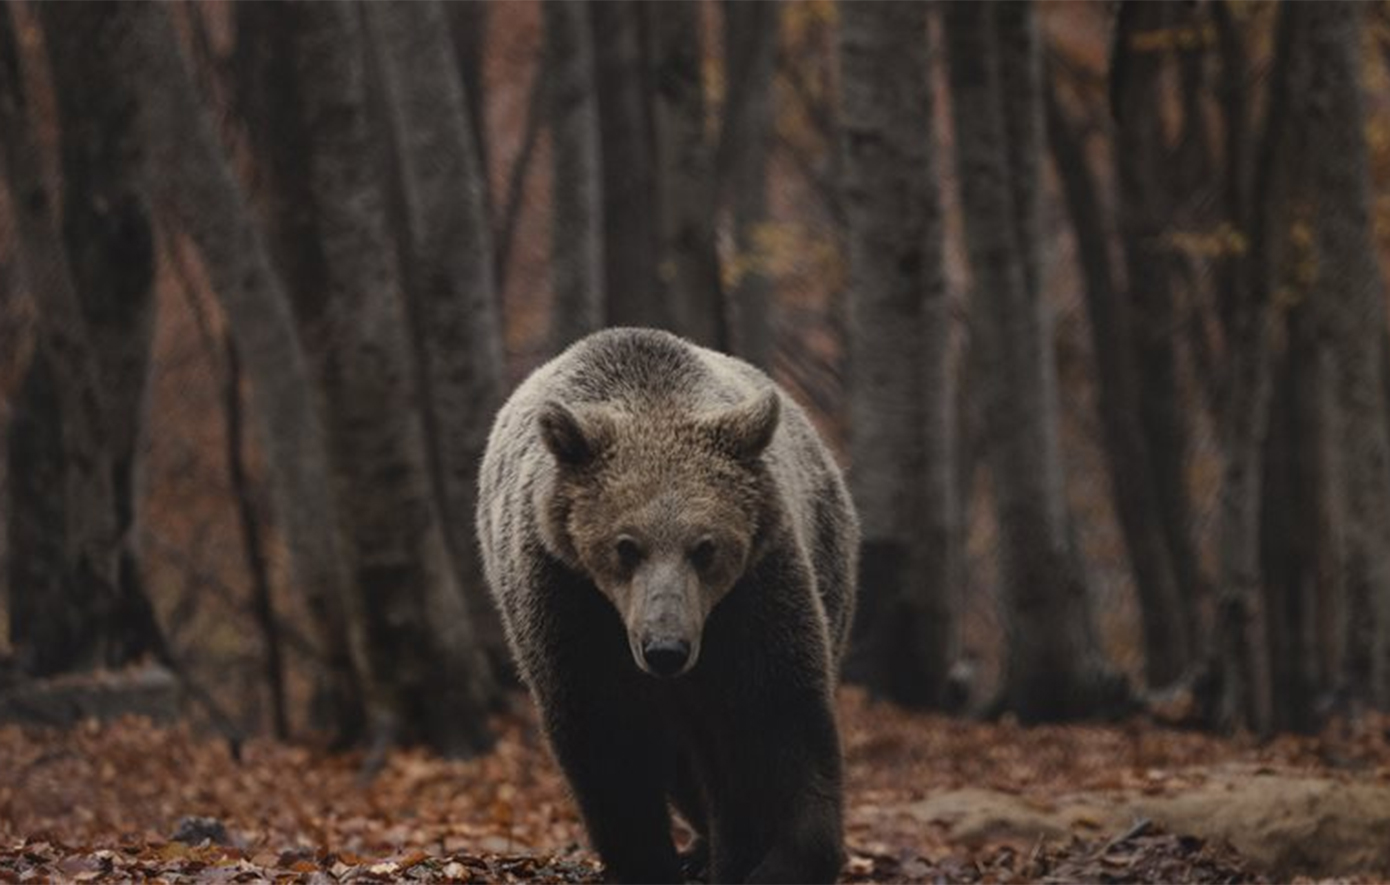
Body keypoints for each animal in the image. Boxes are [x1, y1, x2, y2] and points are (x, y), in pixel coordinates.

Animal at [478, 327, 856, 878]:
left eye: (706, 547)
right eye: (625, 546)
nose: (665, 649)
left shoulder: (755, 591)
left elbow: (776, 716)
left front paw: (775, 859)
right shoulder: (565, 596)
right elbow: (606, 742)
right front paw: (648, 861)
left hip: (828, 558)